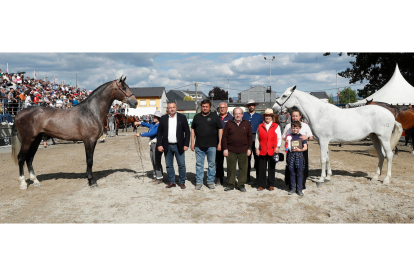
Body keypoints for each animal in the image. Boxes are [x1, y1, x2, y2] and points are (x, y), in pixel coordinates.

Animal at [274, 85, 402, 185]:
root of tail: (391, 115)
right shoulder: (322, 141)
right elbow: (327, 158)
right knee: (381, 155)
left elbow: (323, 159)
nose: (274, 109)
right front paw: (328, 176)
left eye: (284, 96)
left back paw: (386, 179)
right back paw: (375, 177)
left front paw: (321, 179)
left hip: (384, 138)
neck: (319, 113)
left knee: (389, 155)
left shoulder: (323, 140)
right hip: (374, 137)